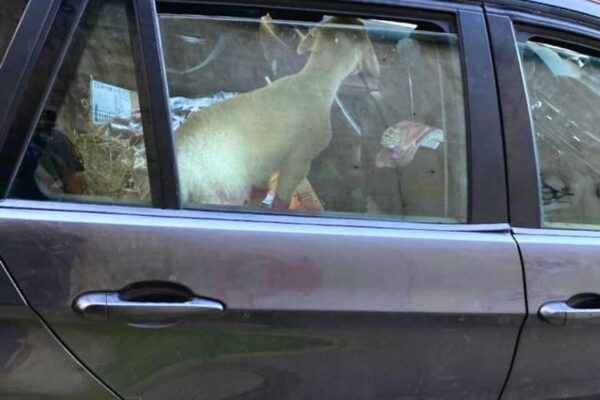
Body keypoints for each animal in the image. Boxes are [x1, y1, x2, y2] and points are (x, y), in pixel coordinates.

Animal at [175, 16, 380, 206]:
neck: (315, 80)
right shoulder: (299, 160)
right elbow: (282, 198)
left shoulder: (266, 163)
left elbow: (261, 189)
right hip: (220, 191)